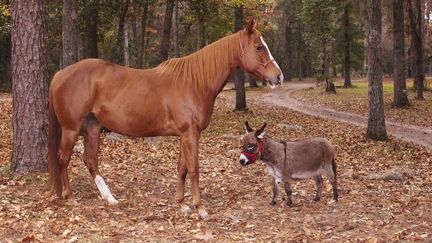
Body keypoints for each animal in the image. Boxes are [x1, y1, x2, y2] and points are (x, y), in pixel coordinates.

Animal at [49, 19, 284, 218]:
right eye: (259, 47)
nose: (278, 76)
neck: (195, 82)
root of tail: (60, 73)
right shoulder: (190, 134)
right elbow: (194, 168)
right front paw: (200, 208)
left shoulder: (184, 134)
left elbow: (182, 168)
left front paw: (182, 204)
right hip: (71, 129)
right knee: (63, 158)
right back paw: (69, 197)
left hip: (92, 128)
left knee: (90, 160)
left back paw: (110, 198)